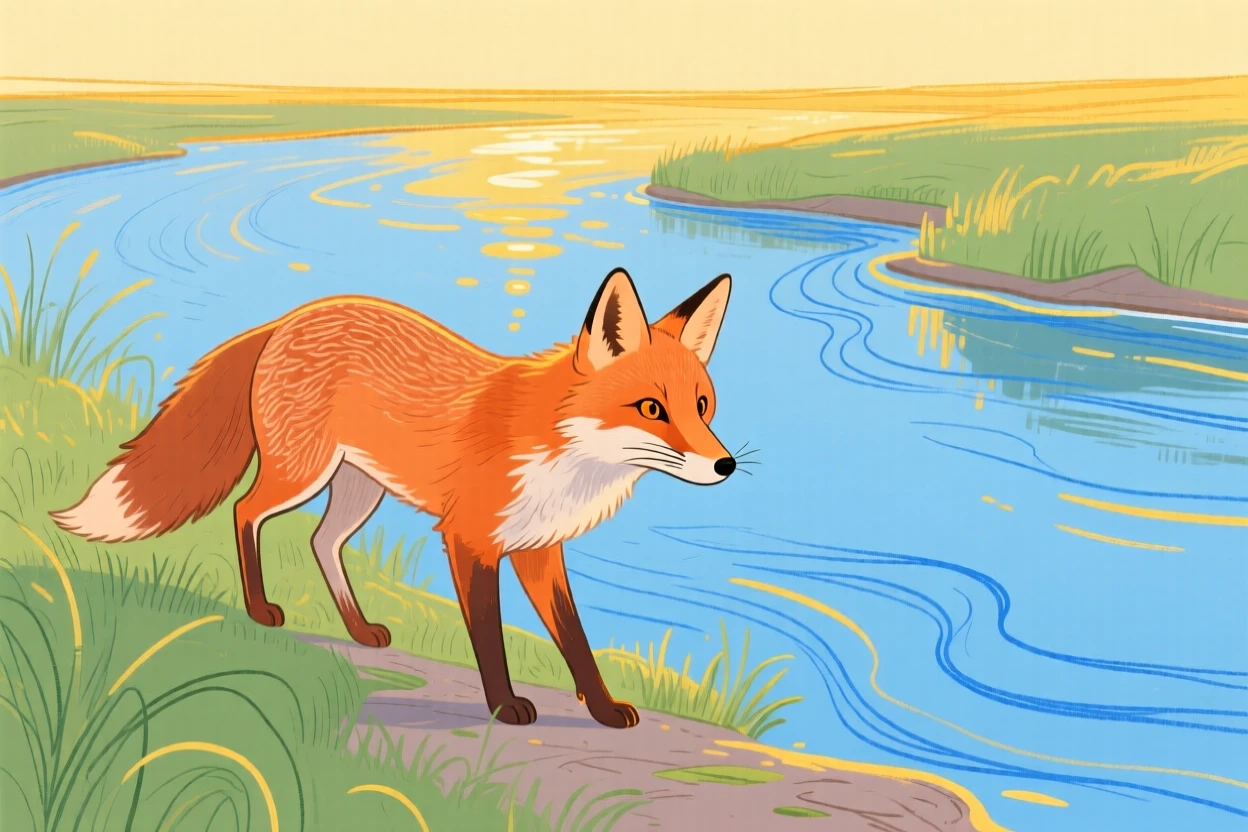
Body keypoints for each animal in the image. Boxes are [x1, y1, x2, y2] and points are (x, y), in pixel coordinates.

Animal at [50, 268, 735, 729]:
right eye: (651, 409)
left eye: (703, 406)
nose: (726, 465)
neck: (562, 452)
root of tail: (290, 318)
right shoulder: (470, 540)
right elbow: (489, 637)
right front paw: (504, 705)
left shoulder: (539, 550)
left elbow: (576, 641)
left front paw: (602, 708)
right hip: (302, 473)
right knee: (246, 511)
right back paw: (260, 609)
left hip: (359, 490)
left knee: (320, 540)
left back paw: (357, 628)